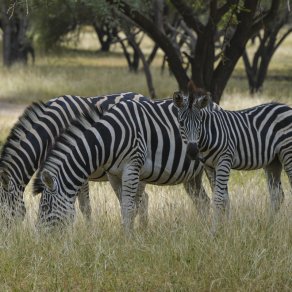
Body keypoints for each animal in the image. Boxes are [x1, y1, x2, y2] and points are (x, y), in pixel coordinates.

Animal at [0, 92, 148, 225]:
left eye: (5, 215)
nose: (12, 238)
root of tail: (141, 96)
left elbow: (84, 207)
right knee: (144, 198)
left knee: (141, 200)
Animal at [33, 98, 221, 233]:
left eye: (45, 207)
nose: (39, 240)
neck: (108, 140)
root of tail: (215, 105)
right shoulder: (113, 174)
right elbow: (124, 205)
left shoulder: (131, 168)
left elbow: (129, 208)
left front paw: (128, 240)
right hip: (192, 175)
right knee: (203, 202)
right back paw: (202, 230)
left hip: (213, 164)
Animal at [172, 81, 292, 232]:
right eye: (181, 123)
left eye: (199, 122)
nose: (193, 151)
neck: (209, 135)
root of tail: (286, 107)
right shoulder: (210, 166)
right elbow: (223, 198)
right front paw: (226, 228)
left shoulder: (224, 160)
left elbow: (218, 198)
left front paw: (214, 231)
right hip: (273, 161)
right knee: (277, 195)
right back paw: (269, 226)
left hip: (288, 153)